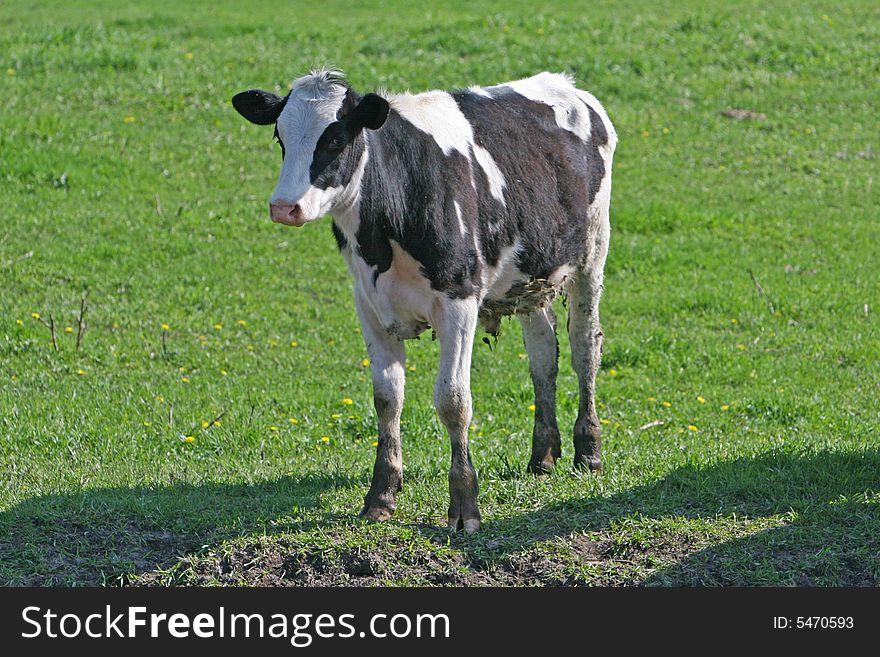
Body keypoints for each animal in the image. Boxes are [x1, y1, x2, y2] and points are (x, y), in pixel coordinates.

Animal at [234, 66, 620, 532]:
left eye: (336, 139)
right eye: (280, 137)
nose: (283, 207)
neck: (384, 233)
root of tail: (569, 86)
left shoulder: (459, 301)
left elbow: (453, 401)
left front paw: (465, 506)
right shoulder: (368, 304)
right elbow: (387, 398)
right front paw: (381, 494)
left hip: (592, 254)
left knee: (584, 348)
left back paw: (589, 450)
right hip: (530, 277)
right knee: (543, 354)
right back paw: (542, 455)